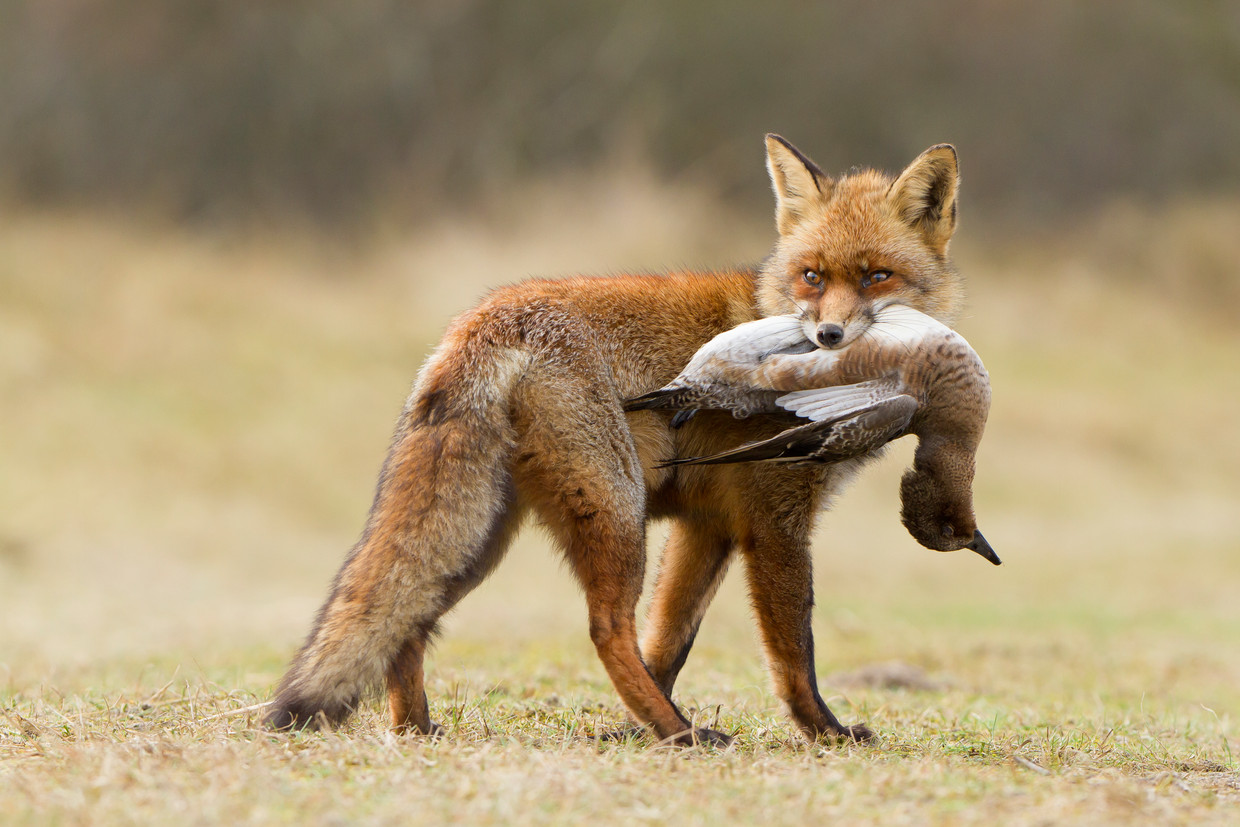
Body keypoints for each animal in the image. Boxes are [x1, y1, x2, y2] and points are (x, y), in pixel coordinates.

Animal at [266, 134, 967, 743]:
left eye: (877, 276)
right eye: (813, 277)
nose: (827, 338)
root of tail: (484, 320)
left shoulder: (708, 525)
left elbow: (669, 642)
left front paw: (627, 731)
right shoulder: (774, 522)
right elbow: (795, 652)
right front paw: (825, 732)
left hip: (480, 535)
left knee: (409, 619)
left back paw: (417, 729)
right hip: (616, 511)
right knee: (604, 629)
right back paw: (685, 735)